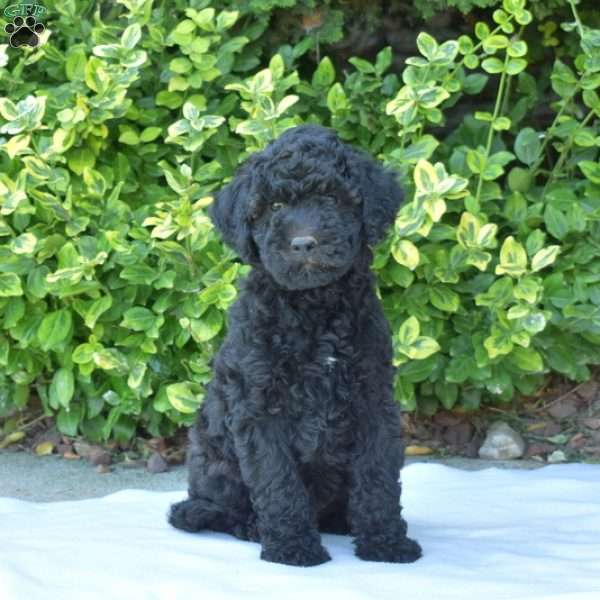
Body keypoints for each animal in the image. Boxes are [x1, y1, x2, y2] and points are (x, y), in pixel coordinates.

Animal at [169, 123, 422, 568]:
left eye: (331, 199)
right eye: (273, 207)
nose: (303, 243)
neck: (313, 308)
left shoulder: (374, 400)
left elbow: (377, 475)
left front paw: (386, 541)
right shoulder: (259, 409)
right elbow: (277, 480)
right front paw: (293, 546)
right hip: (214, 461)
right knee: (219, 508)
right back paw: (249, 525)